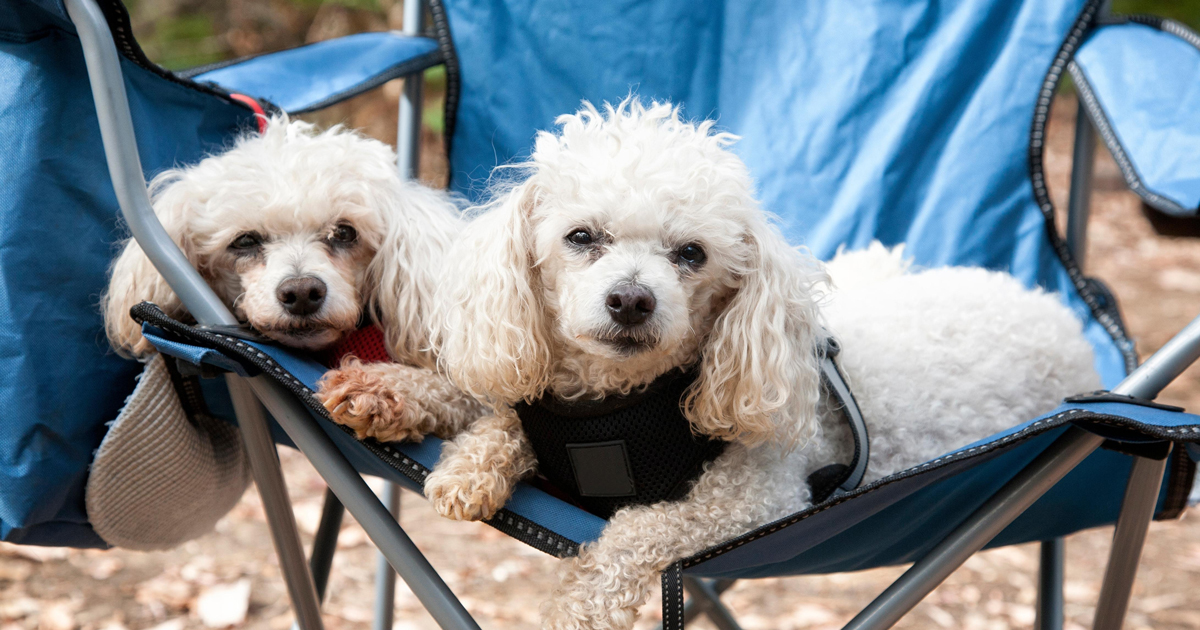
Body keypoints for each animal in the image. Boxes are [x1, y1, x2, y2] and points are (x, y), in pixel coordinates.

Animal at [331, 100, 1104, 624]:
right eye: (581, 236)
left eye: (691, 254)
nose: (631, 301)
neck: (620, 405)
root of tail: (1057, 314)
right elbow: (490, 408)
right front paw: (409, 412)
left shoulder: (758, 501)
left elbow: (640, 529)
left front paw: (580, 604)